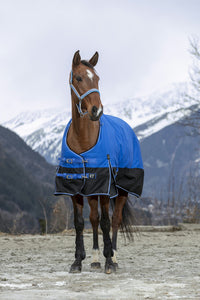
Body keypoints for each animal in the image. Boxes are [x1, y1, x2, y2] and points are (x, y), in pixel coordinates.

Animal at [54, 51, 144, 274]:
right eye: (78, 78)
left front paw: (109, 261)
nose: (97, 110)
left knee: (115, 220)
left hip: (121, 190)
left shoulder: (105, 188)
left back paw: (115, 258)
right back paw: (95, 259)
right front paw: (78, 261)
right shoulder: (76, 188)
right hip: (93, 192)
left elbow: (106, 222)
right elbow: (80, 223)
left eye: (97, 78)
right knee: (94, 219)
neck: (83, 139)